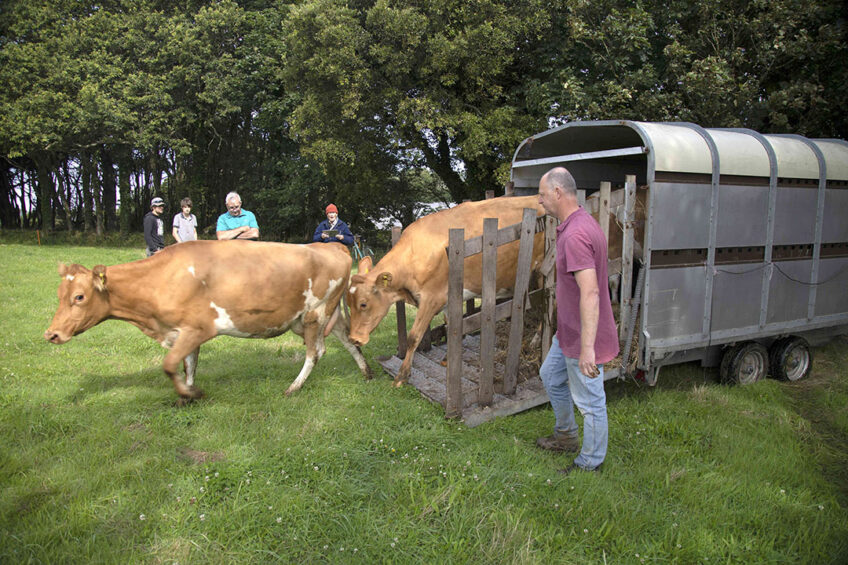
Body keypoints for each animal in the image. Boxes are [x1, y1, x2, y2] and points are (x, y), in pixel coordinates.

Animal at [42, 240, 368, 398]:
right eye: (59, 293)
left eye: (79, 297)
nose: (51, 334)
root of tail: (331, 245)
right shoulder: (181, 331)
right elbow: (189, 365)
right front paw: (186, 393)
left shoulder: (197, 329)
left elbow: (170, 365)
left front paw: (192, 394)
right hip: (320, 316)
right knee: (346, 340)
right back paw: (366, 372)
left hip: (316, 312)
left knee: (315, 352)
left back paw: (294, 387)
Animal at [348, 196, 548, 386]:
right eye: (348, 304)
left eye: (363, 304)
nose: (354, 339)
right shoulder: (446, 299)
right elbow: (449, 326)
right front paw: (448, 359)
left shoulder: (432, 298)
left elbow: (414, 337)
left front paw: (401, 376)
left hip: (543, 270)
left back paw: (535, 340)